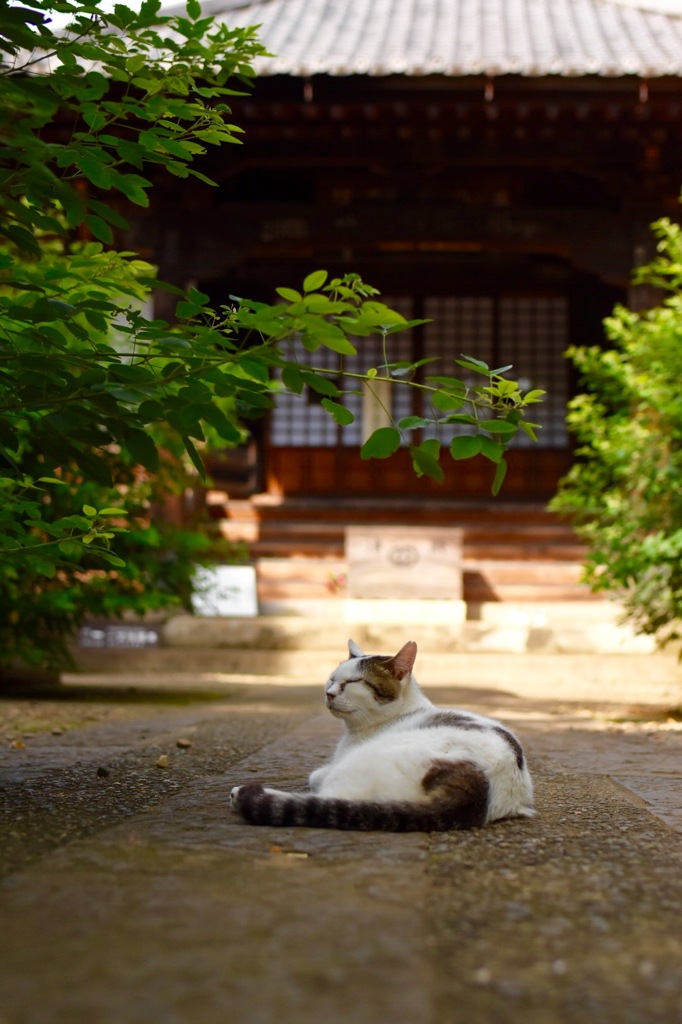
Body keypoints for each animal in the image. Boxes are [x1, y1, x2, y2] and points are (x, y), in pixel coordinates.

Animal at [228, 638, 532, 831]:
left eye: (353, 682)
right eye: (331, 679)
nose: (328, 693)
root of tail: (478, 781)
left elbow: (315, 776)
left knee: (330, 799)